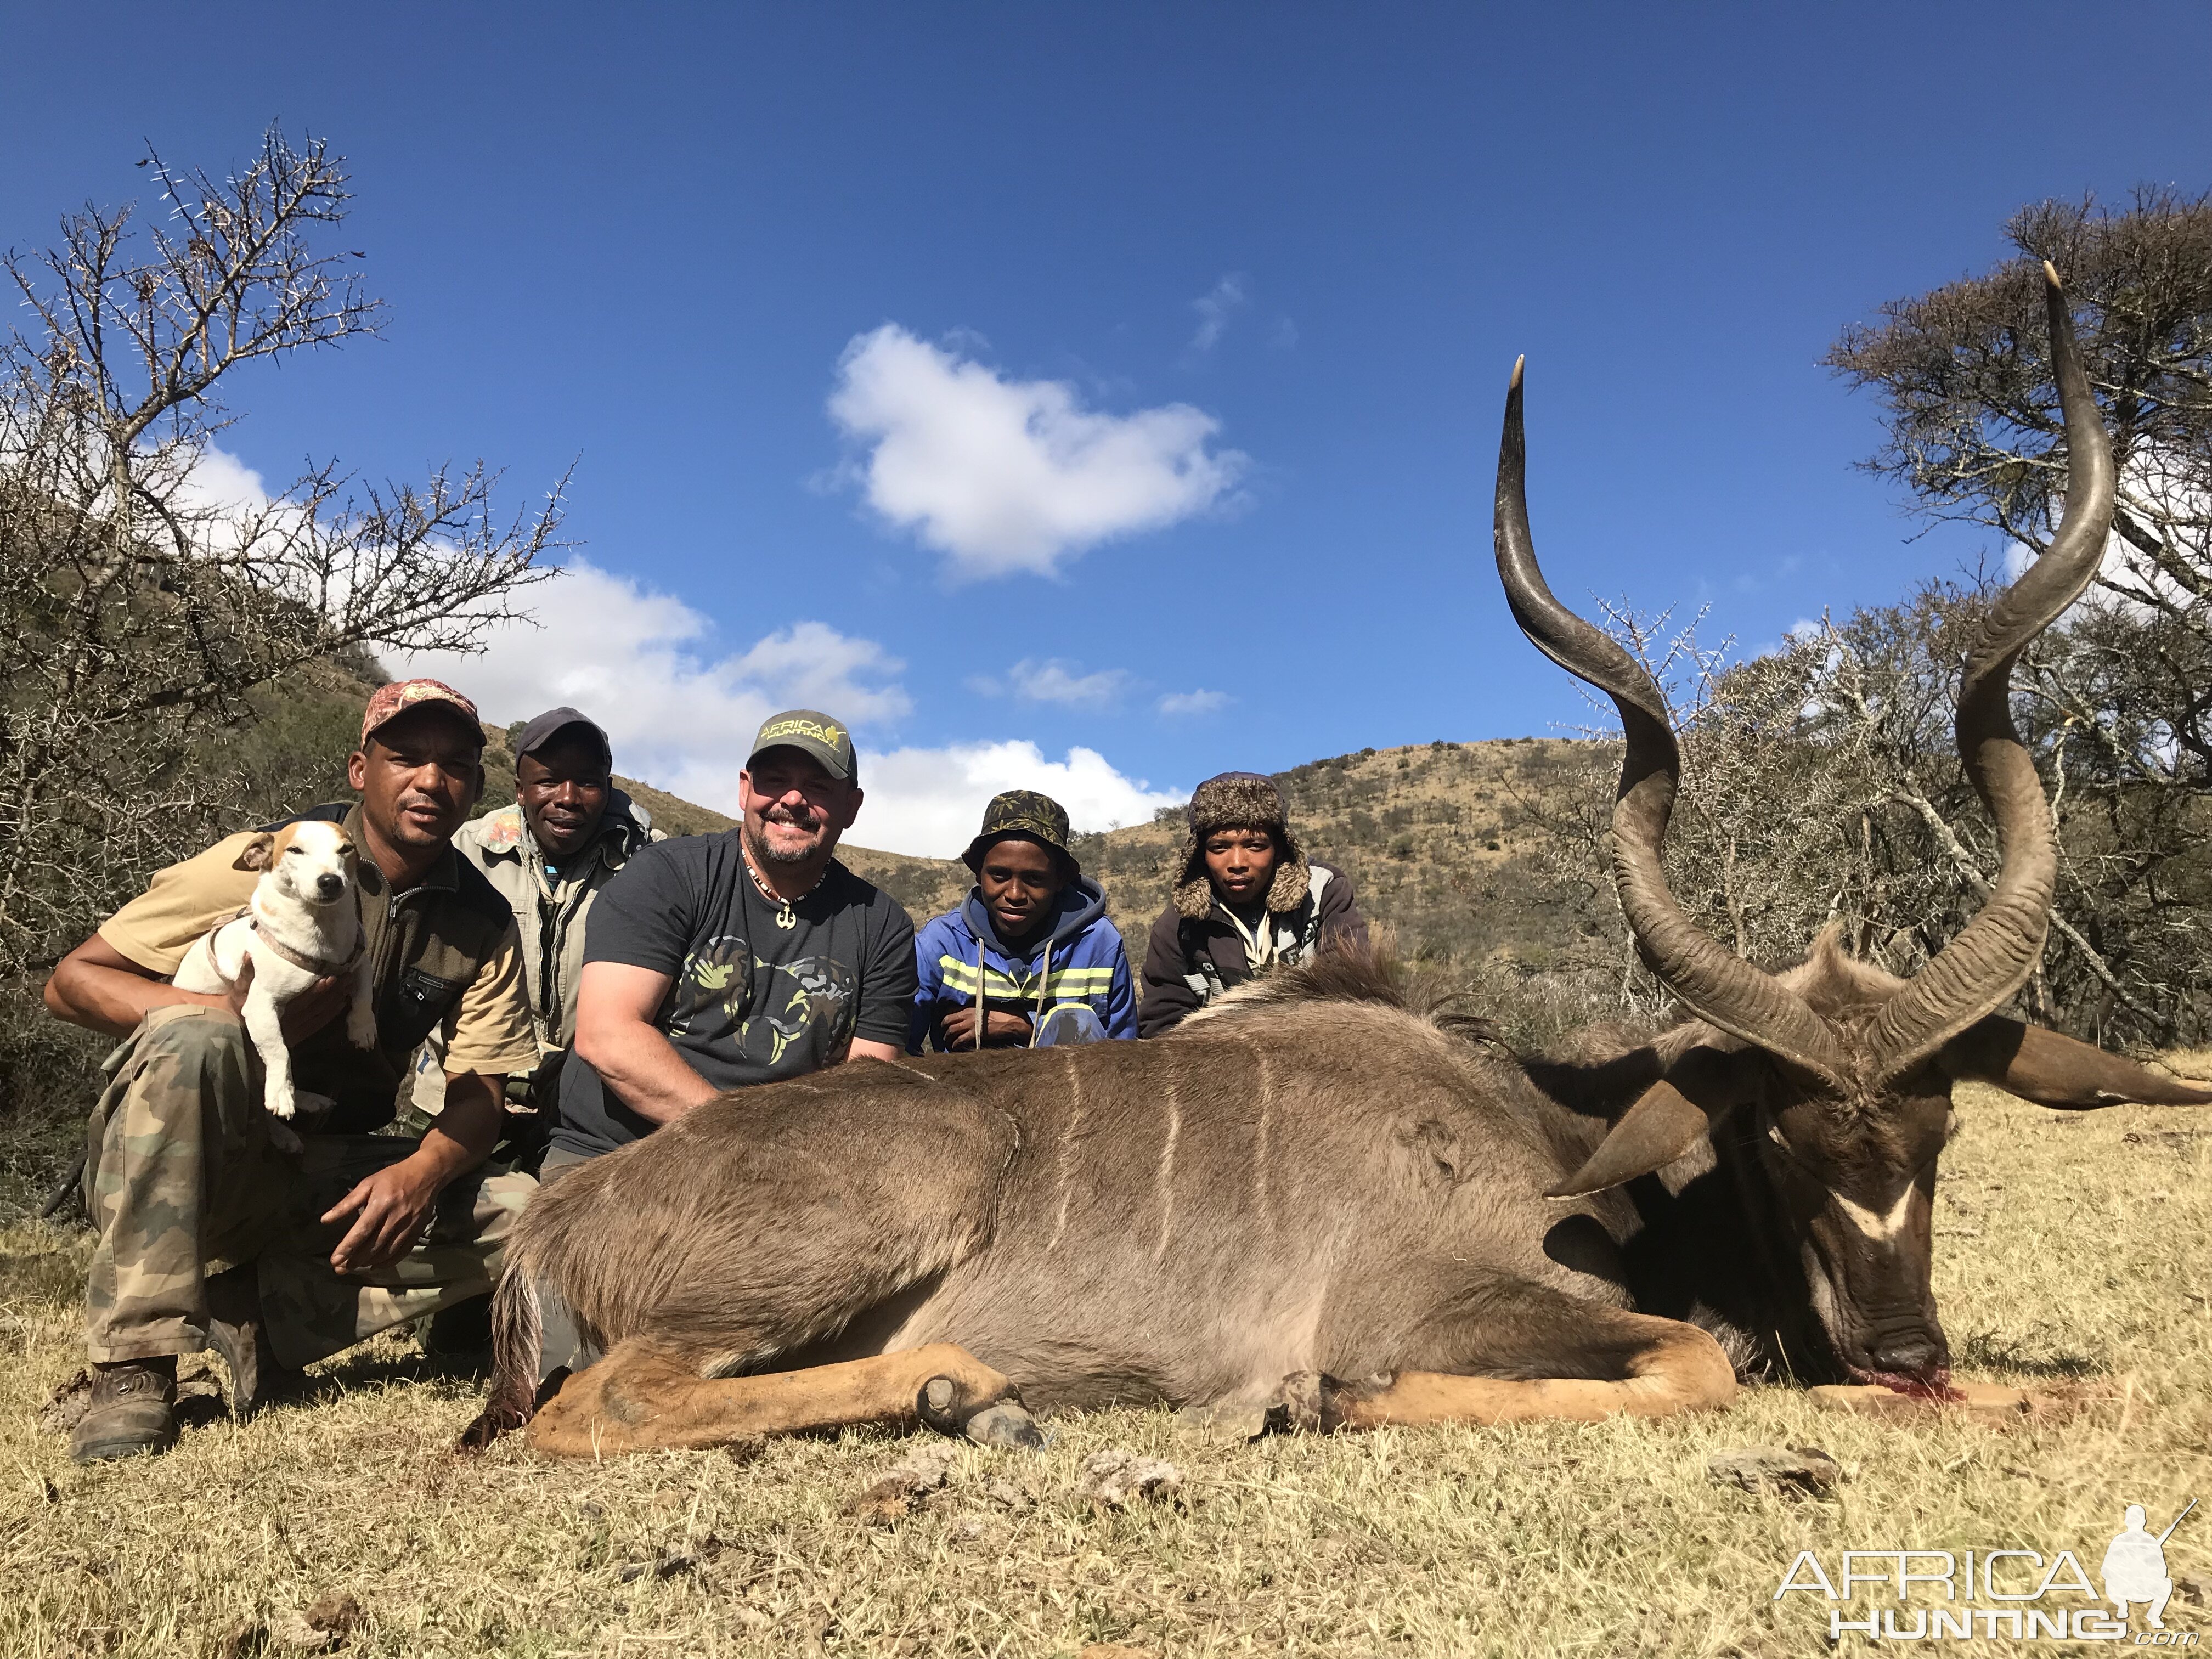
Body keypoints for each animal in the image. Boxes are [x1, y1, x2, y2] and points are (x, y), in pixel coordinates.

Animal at [171, 822, 376, 1141]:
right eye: (295, 850)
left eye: (346, 849)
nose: (330, 881)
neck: (321, 933)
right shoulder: (259, 1006)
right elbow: (280, 1050)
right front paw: (281, 1095)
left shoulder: (358, 959)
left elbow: (365, 992)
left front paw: (363, 1028)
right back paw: (284, 1132)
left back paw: (310, 1100)